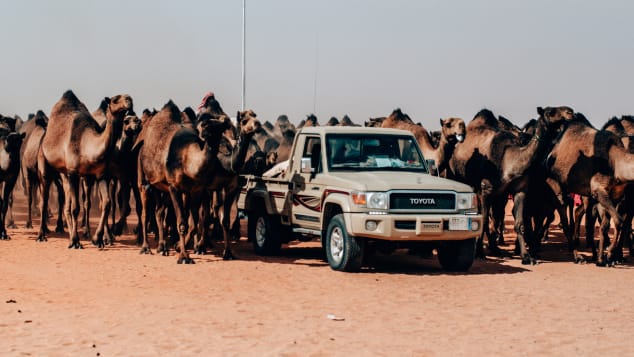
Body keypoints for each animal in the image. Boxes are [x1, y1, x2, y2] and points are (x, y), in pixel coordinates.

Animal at [38, 89, 132, 249]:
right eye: (115, 99)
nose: (129, 99)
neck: (87, 146)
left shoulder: (101, 175)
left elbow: (106, 203)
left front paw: (97, 239)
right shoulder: (73, 172)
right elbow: (76, 208)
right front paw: (76, 242)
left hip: (64, 173)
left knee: (66, 204)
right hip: (46, 164)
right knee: (45, 200)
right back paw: (41, 235)